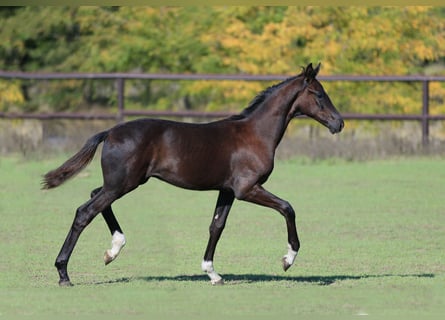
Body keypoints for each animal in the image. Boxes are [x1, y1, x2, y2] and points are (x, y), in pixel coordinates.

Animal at [42, 62, 344, 284]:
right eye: (318, 94)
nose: (338, 123)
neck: (255, 134)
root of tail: (111, 131)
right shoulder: (247, 189)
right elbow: (287, 208)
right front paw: (287, 259)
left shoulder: (227, 190)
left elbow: (216, 226)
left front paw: (212, 273)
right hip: (122, 183)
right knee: (85, 211)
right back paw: (64, 273)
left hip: (120, 183)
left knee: (94, 196)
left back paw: (112, 250)